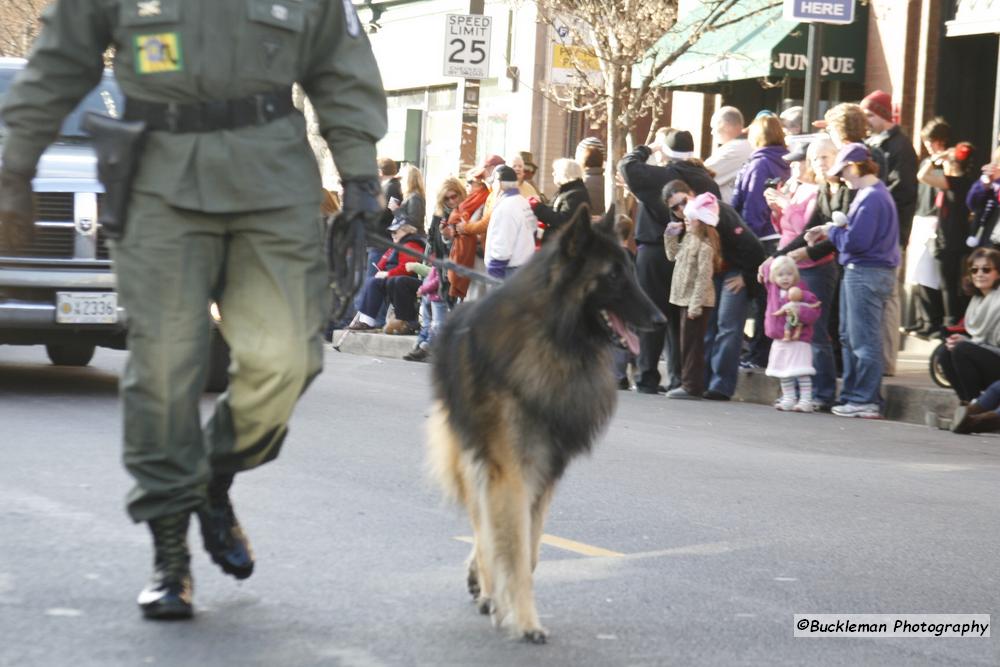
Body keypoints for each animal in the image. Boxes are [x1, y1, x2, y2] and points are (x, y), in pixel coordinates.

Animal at [428, 207, 664, 640]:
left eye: (632, 271)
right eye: (613, 275)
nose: (660, 319)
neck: (556, 341)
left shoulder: (545, 472)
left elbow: (530, 548)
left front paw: (511, 604)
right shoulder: (511, 469)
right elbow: (511, 545)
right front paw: (523, 619)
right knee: (482, 523)